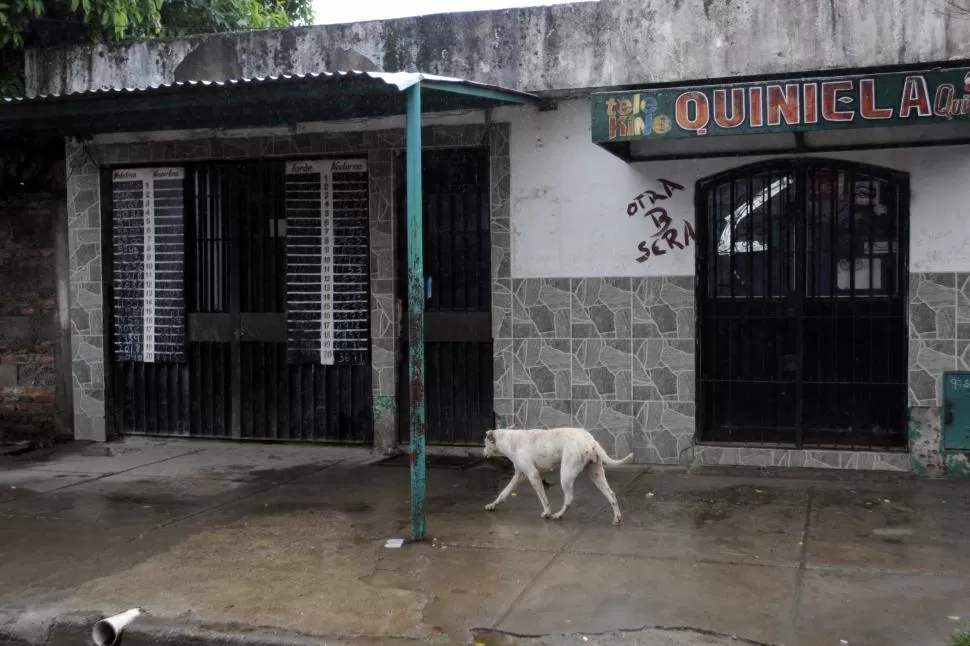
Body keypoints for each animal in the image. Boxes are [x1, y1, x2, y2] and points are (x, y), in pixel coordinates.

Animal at [480, 430, 632, 528]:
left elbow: (543, 499)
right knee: (611, 494)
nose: (482, 454)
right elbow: (503, 493)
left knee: (569, 498)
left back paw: (558, 515)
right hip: (596, 475)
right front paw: (492, 505)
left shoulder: (533, 475)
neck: (510, 440)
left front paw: (547, 512)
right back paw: (617, 518)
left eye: (485, 443)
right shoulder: (519, 475)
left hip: (566, 474)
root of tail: (590, 440)